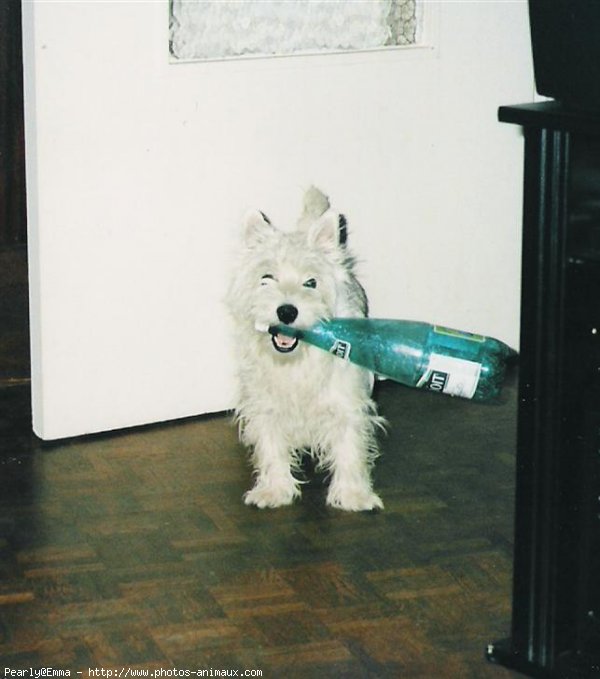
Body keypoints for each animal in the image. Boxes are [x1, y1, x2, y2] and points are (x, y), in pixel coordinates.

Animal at [225, 186, 384, 510]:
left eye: (311, 282)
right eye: (266, 277)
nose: (287, 311)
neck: (296, 361)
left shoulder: (346, 401)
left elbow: (349, 448)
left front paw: (354, 495)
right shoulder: (265, 404)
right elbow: (271, 445)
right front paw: (274, 490)